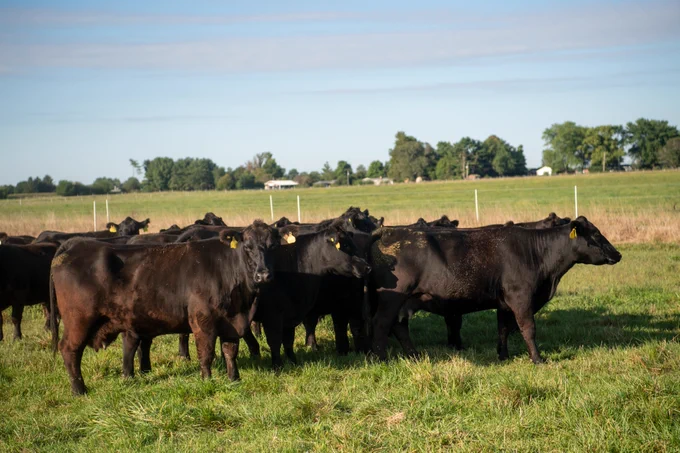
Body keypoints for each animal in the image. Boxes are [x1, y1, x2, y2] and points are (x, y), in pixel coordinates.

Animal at [50, 220, 280, 395]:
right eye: (247, 247)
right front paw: (207, 381)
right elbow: (206, 354)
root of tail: (75, 244)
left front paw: (234, 380)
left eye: (272, 246)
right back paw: (79, 390)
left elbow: (230, 352)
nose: (263, 274)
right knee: (69, 349)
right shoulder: (202, 321)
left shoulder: (232, 322)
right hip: (79, 321)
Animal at [367, 216, 621, 363]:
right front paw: (537, 359)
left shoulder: (504, 303)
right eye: (596, 234)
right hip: (391, 299)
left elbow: (503, 329)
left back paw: (415, 356)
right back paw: (381, 359)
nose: (617, 254)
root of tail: (389, 230)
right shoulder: (521, 297)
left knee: (399, 327)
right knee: (381, 324)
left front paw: (503, 356)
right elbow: (528, 329)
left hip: (406, 301)